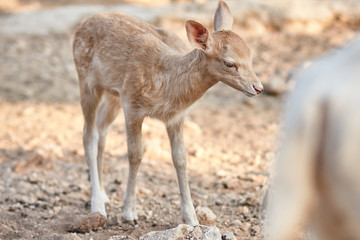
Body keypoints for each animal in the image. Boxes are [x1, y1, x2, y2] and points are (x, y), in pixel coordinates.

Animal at [72, 0, 262, 225]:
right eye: (230, 63)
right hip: (86, 80)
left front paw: (191, 218)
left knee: (102, 129)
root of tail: (83, 23)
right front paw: (129, 212)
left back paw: (103, 194)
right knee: (88, 136)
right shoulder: (132, 105)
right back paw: (98, 206)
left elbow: (180, 159)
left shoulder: (176, 117)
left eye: (250, 56)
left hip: (113, 95)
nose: (258, 87)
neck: (167, 87)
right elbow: (135, 154)